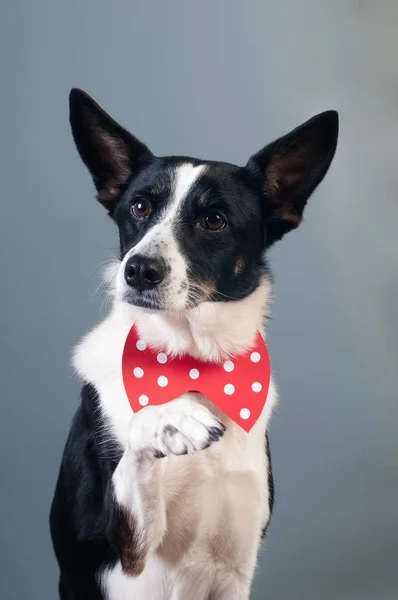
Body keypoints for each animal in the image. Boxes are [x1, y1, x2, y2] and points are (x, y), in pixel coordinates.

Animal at [48, 90, 338, 600]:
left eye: (214, 220)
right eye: (139, 208)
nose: (138, 270)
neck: (193, 360)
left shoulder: (237, 569)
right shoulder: (129, 558)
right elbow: (139, 432)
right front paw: (171, 416)